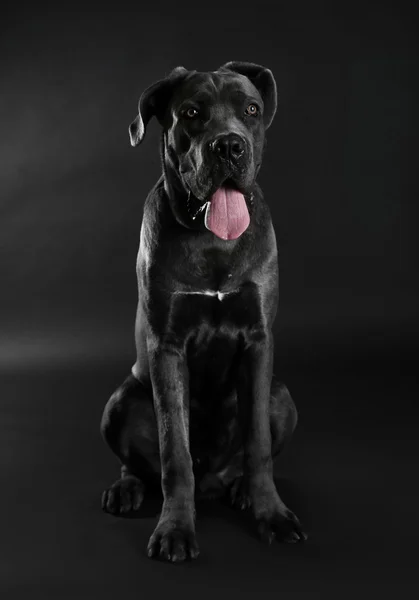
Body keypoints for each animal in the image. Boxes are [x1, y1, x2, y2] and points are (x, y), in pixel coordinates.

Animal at [100, 62, 306, 564]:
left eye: (250, 109)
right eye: (191, 113)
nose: (229, 146)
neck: (213, 238)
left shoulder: (258, 340)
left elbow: (258, 443)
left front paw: (272, 514)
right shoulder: (166, 346)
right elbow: (174, 450)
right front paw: (175, 529)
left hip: (282, 394)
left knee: (244, 456)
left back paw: (241, 490)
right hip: (120, 401)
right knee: (141, 464)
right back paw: (127, 489)